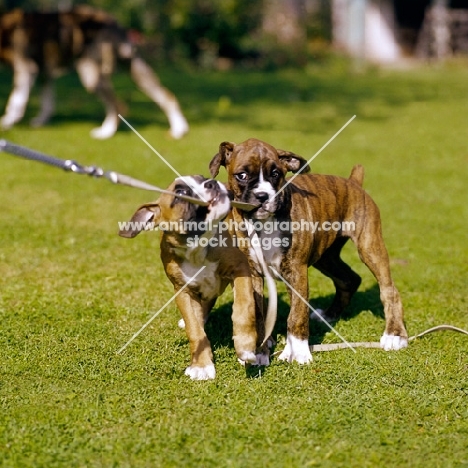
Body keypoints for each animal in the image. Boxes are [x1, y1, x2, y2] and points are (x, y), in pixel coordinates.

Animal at [119, 176, 258, 380]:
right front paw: (201, 364)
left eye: (202, 178)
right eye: (181, 193)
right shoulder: (183, 291)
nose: (211, 183)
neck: (196, 248)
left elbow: (243, 306)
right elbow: (194, 328)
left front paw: (245, 346)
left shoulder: (240, 268)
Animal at [210, 137, 408, 364]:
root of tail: (353, 182)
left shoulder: (296, 271)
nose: (262, 196)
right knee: (349, 279)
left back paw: (394, 335)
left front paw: (298, 351)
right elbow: (258, 313)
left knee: (389, 290)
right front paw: (260, 351)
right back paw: (329, 315)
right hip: (326, 257)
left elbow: (296, 314)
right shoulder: (253, 273)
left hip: (369, 247)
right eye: (242, 175)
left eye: (276, 174)